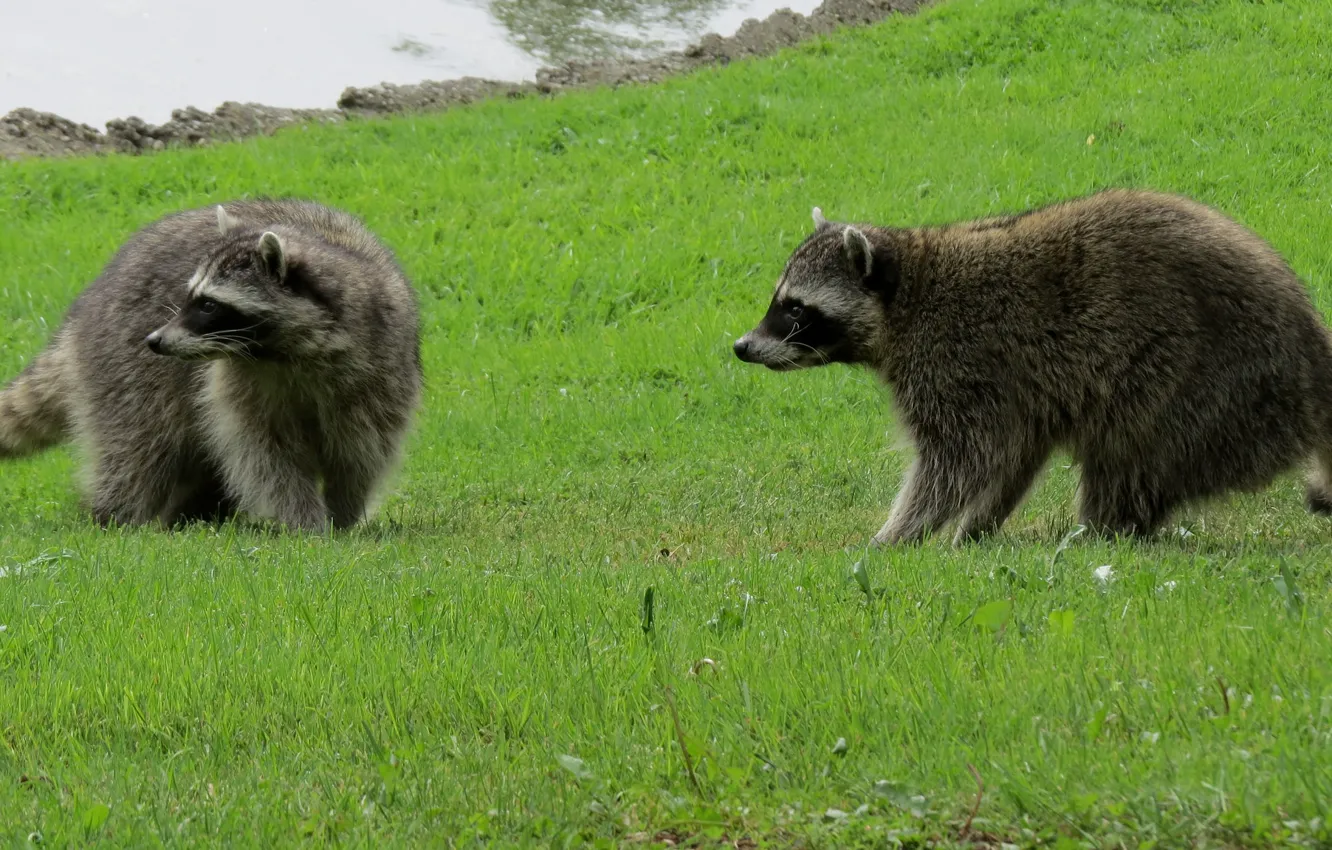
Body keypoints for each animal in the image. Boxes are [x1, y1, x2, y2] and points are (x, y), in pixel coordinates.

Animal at [0, 199, 423, 531]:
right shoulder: (237, 384)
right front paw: (303, 518)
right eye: (187, 296)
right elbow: (266, 455)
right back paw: (118, 514)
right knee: (137, 447)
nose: (154, 341)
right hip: (124, 362)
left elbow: (361, 449)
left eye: (208, 305)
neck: (283, 352)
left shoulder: (378, 366)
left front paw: (344, 513)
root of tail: (88, 304)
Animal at [734, 190, 1332, 545]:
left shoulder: (954, 363)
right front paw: (976, 528)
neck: (907, 294)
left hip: (1203, 379)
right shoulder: (1015, 388)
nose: (741, 346)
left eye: (795, 310)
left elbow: (958, 461)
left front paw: (897, 536)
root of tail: (1313, 357)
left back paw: (1101, 532)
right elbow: (1016, 454)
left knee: (1128, 449)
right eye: (778, 301)